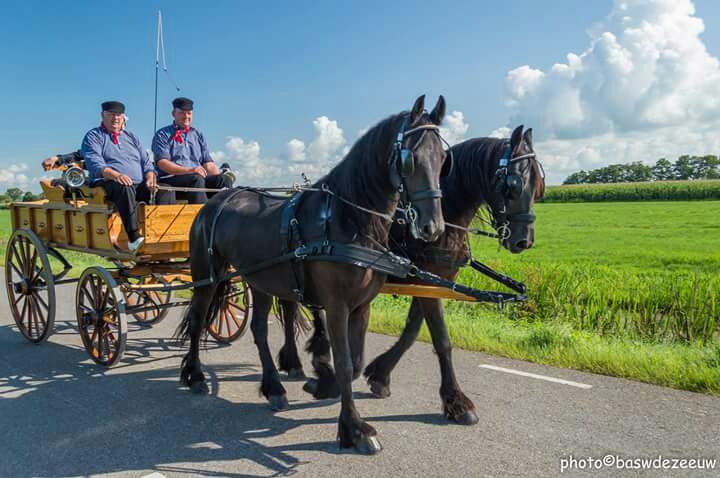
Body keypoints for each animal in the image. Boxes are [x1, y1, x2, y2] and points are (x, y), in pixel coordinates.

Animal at [179, 95, 450, 454]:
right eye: (409, 159)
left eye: (443, 159)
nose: (432, 227)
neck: (347, 221)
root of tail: (216, 201)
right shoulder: (336, 305)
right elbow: (346, 362)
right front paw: (354, 429)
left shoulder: (362, 306)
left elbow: (357, 361)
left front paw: (324, 384)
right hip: (208, 275)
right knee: (198, 320)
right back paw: (196, 376)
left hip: (259, 279)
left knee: (259, 329)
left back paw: (273, 387)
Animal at [278, 124, 544, 426]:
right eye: (513, 184)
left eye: (539, 185)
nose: (524, 240)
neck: (444, 217)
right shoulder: (423, 281)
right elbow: (441, 339)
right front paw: (457, 401)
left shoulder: (430, 282)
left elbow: (412, 332)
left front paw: (380, 375)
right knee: (290, 306)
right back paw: (295, 362)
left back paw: (316, 354)